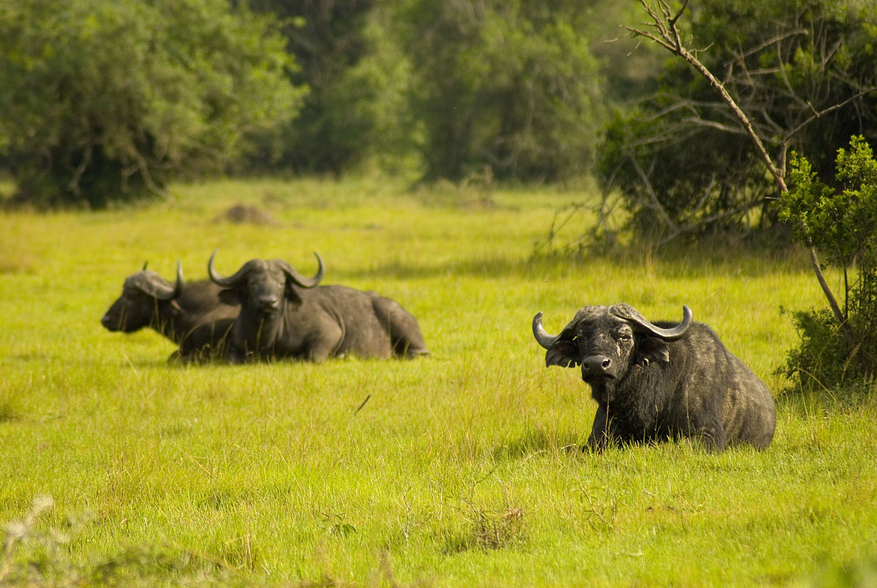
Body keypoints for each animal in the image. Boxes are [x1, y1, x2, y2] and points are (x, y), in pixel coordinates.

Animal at [206, 249, 432, 362]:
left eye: (281, 283)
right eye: (252, 283)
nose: (269, 302)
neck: (267, 336)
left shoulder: (329, 332)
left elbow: (312, 356)